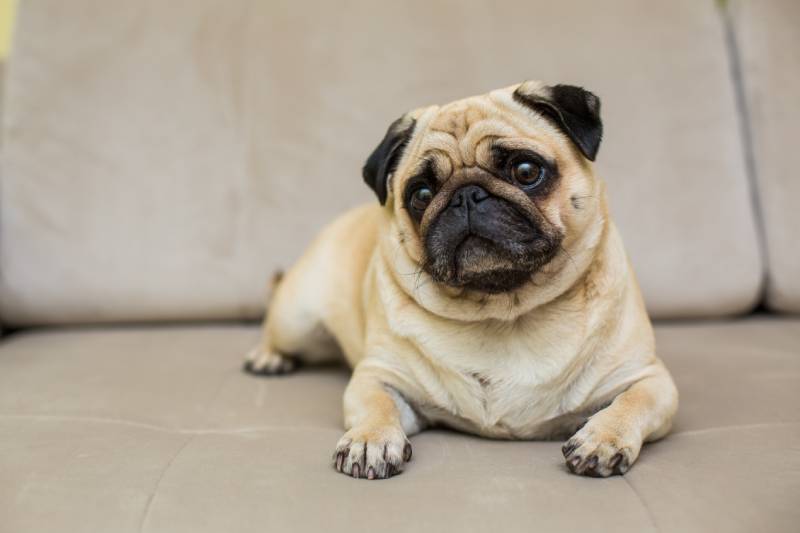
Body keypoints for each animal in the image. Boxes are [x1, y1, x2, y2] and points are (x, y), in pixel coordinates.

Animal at [242, 82, 676, 478]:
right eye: (420, 193)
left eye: (526, 171)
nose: (466, 195)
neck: (506, 312)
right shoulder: (378, 376)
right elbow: (377, 405)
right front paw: (370, 440)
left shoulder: (649, 379)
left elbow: (631, 403)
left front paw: (603, 438)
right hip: (297, 319)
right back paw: (268, 357)